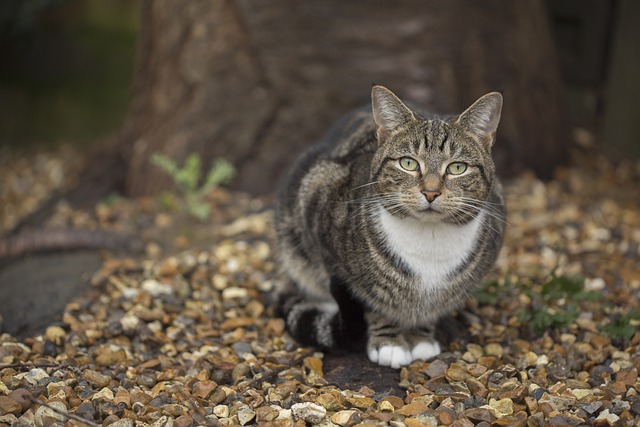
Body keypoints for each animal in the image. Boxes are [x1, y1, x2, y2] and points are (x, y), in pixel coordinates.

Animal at [274, 85, 504, 370]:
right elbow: (371, 302)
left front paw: (421, 337)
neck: (429, 238)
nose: (431, 192)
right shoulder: (324, 229)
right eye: (408, 163)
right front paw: (389, 343)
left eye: (457, 167)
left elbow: (432, 308)